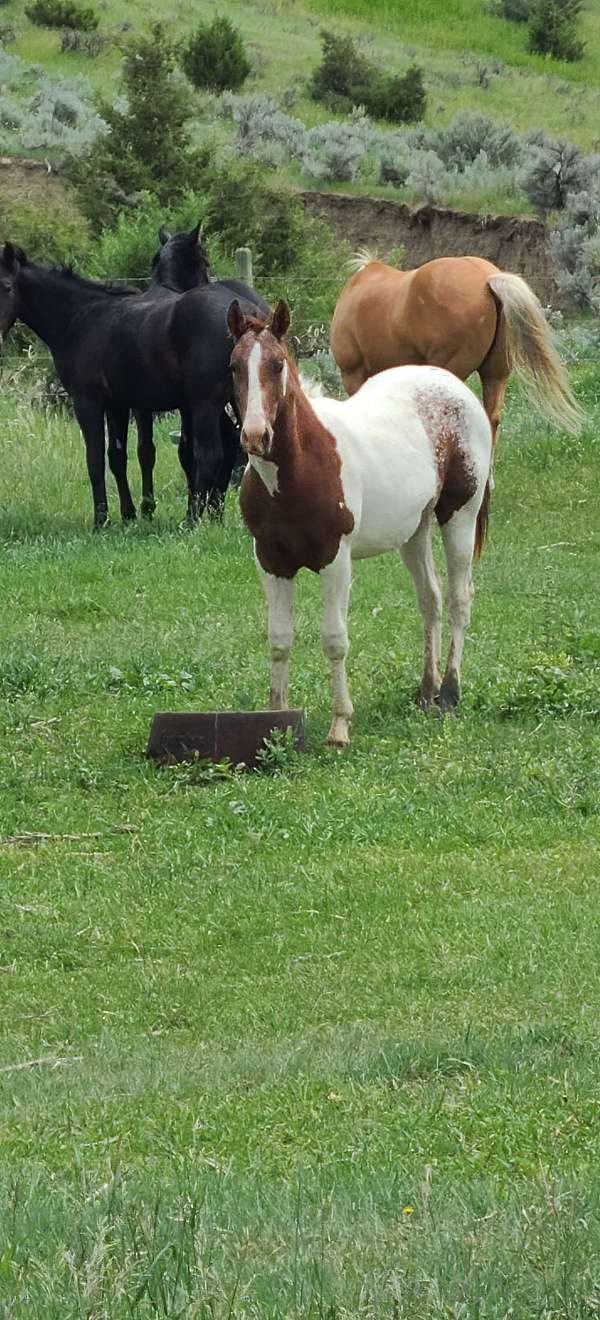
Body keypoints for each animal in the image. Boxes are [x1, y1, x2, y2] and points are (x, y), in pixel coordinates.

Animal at [229, 302, 493, 755]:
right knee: (431, 599)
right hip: (414, 531)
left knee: (460, 598)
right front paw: (277, 723)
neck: (302, 467)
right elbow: (279, 639)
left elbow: (335, 640)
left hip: (460, 515)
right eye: (233, 366)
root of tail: (452, 384)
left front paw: (340, 727)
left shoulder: (336, 560)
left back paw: (449, 693)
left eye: (277, 365)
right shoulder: (270, 561)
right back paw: (426, 690)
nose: (255, 436)